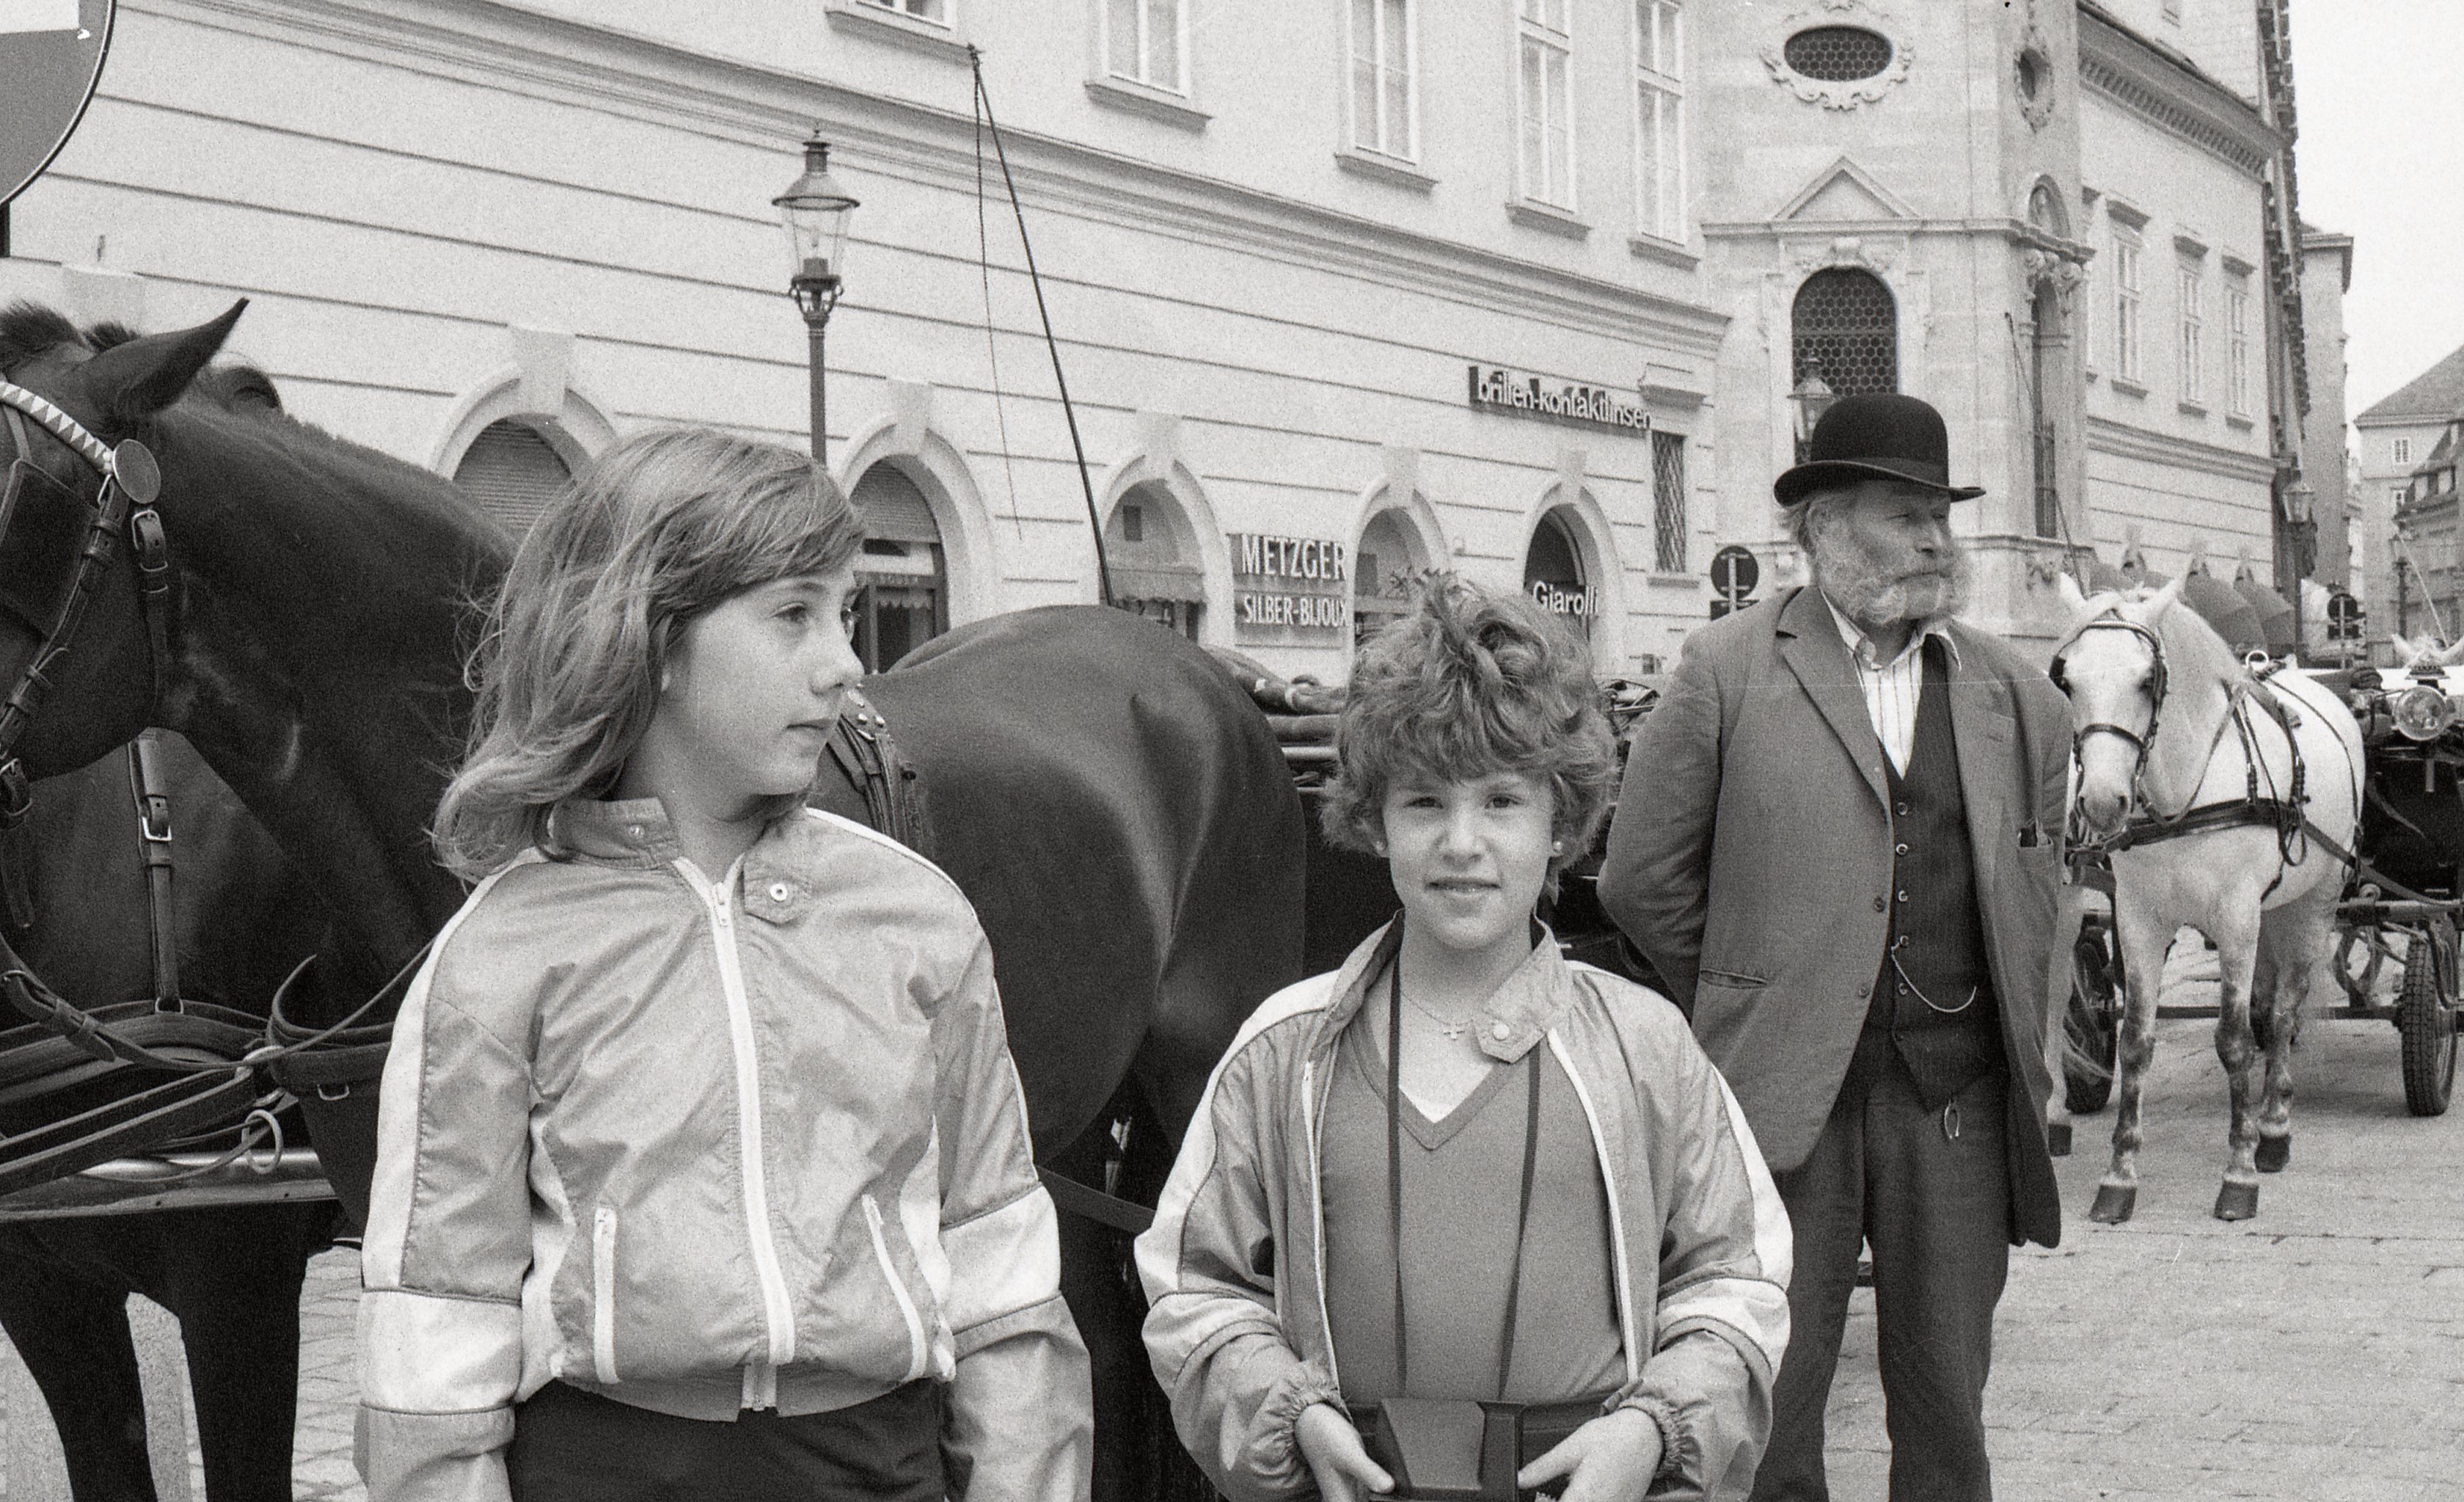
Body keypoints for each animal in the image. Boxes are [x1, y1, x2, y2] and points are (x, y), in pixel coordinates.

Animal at [2049, 572, 2364, 1222]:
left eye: (2146, 679)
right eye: (2066, 679)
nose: (2100, 802)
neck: (2182, 793)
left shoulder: (2237, 916)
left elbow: (2235, 1039)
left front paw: (2238, 1170)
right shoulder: (2138, 919)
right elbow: (2135, 1042)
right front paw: (2119, 1175)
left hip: (2315, 900)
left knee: (2284, 1009)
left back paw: (2272, 1127)